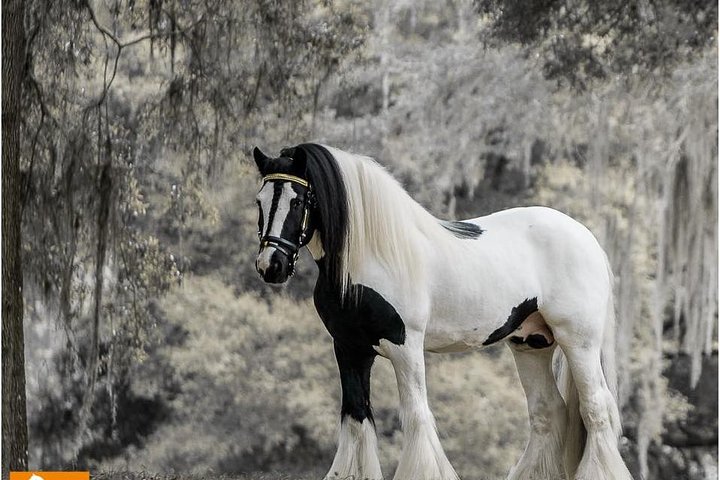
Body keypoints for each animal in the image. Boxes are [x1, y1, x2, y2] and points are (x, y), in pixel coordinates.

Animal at [251, 143, 633, 480]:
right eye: (259, 200)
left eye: (298, 200)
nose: (271, 266)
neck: (371, 257)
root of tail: (587, 238)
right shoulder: (349, 348)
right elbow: (355, 418)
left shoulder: (405, 346)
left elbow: (416, 414)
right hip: (531, 344)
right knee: (548, 413)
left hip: (578, 342)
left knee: (597, 409)